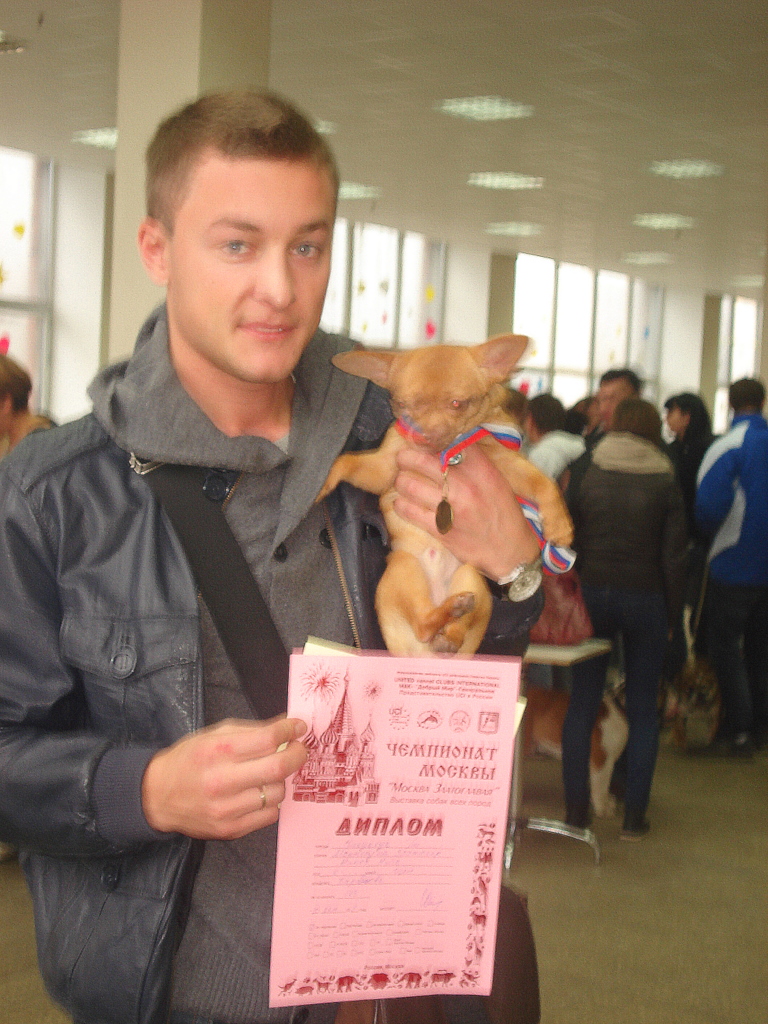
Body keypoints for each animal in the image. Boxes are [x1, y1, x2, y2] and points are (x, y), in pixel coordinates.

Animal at [317, 334, 574, 656]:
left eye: (457, 404)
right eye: (402, 405)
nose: (426, 435)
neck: (444, 454)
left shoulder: (505, 465)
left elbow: (542, 483)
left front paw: (560, 523)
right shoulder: (384, 467)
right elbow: (346, 462)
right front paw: (324, 482)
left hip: (470, 577)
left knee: (451, 631)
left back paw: (452, 624)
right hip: (403, 569)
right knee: (424, 623)